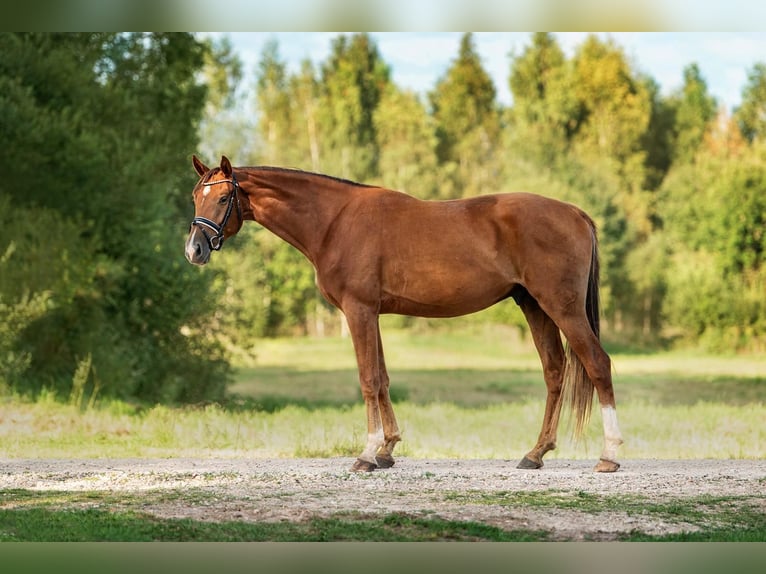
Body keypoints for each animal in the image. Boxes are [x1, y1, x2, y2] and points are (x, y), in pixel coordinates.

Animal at [185, 155, 624, 473]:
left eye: (222, 199)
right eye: (195, 197)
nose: (194, 250)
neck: (335, 221)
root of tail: (576, 213)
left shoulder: (359, 311)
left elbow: (368, 380)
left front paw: (366, 455)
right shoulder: (372, 313)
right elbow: (382, 379)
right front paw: (387, 449)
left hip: (562, 307)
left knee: (597, 363)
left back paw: (610, 455)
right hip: (534, 305)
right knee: (554, 371)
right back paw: (536, 453)